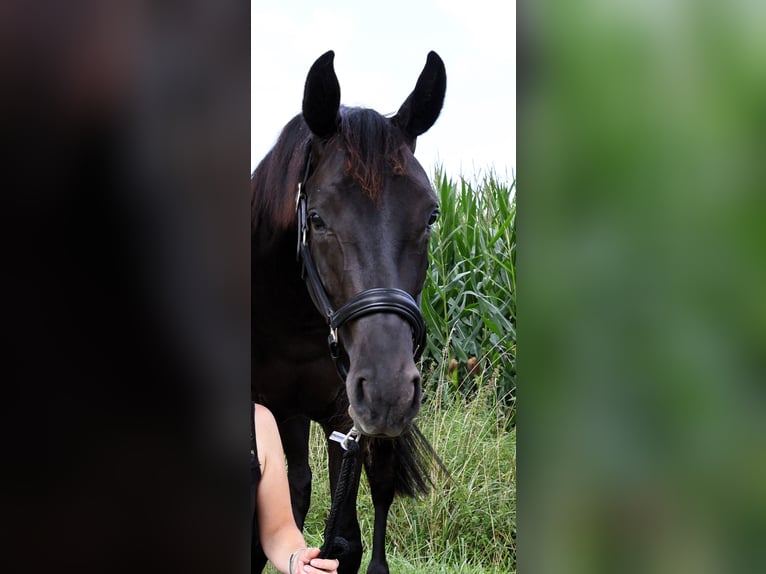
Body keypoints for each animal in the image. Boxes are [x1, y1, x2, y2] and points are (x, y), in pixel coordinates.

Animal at [252, 51, 448, 572]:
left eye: (431, 215)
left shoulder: (346, 421)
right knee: (298, 484)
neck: (294, 325)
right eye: (317, 218)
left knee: (381, 488)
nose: (386, 390)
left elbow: (347, 542)